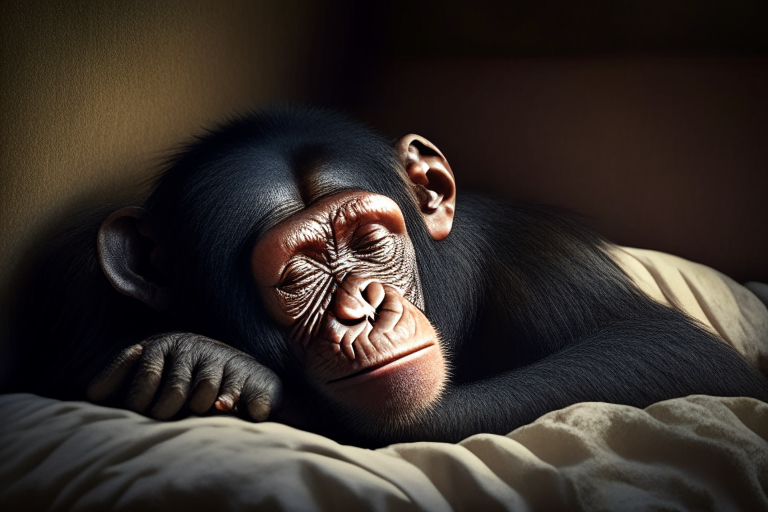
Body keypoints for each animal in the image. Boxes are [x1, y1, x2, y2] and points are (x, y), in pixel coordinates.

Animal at [6, 106, 768, 446]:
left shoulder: (537, 260)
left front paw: (235, 375)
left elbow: (660, 348)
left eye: (370, 241)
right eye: (296, 277)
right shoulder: (79, 307)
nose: (363, 306)